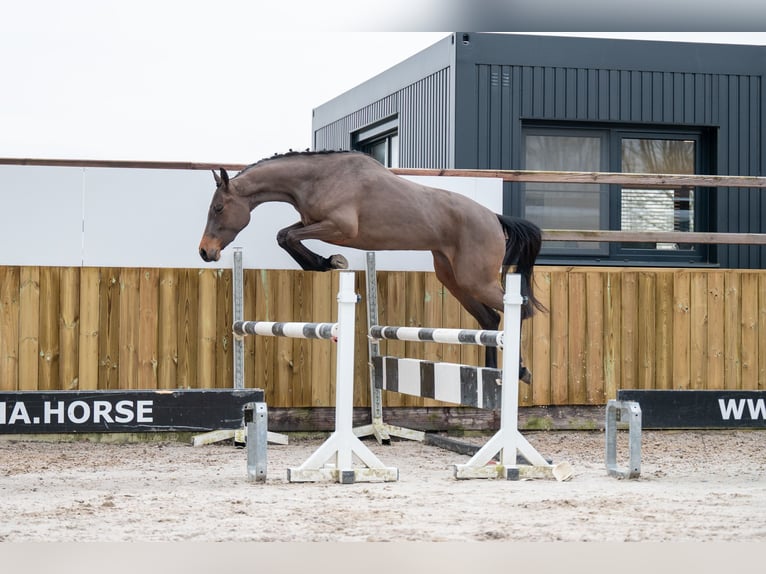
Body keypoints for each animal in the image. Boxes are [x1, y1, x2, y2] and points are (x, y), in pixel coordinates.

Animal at [198, 151, 544, 380]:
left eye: (218, 208)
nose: (205, 252)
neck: (317, 179)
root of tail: (495, 218)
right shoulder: (313, 223)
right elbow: (286, 235)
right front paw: (324, 263)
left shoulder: (339, 228)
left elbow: (287, 235)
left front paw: (330, 261)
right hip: (453, 278)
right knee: (490, 317)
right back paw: (493, 372)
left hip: (476, 280)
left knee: (521, 310)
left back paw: (521, 371)